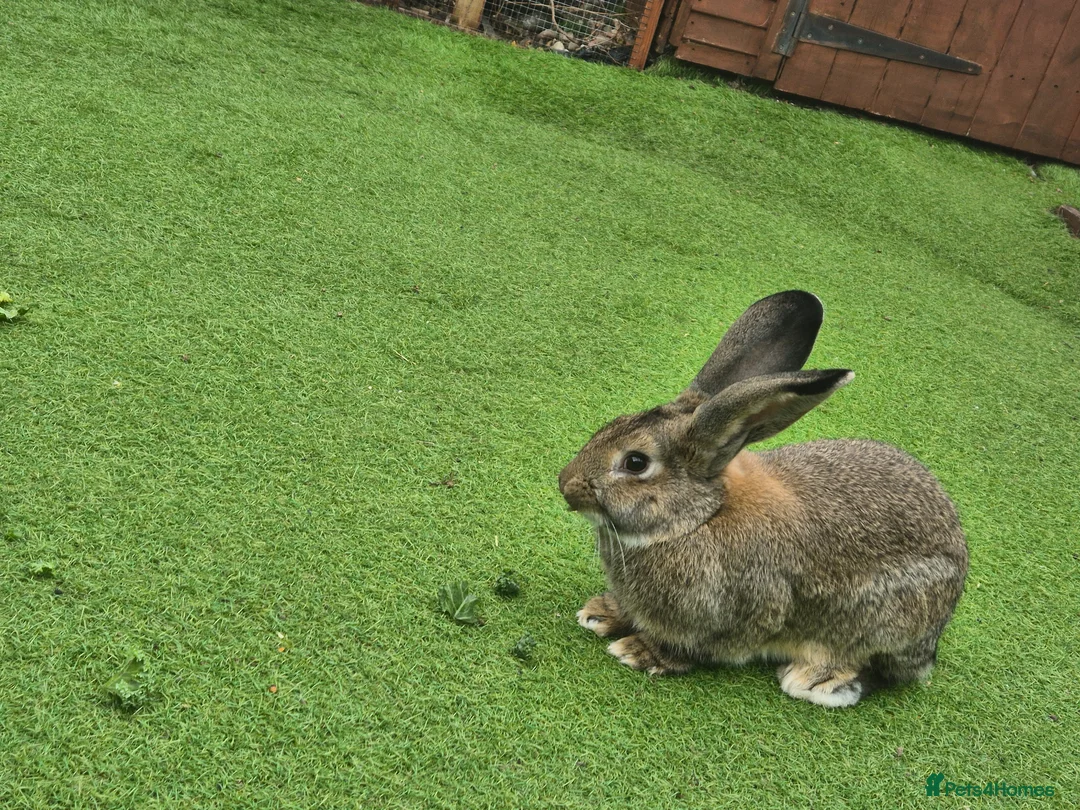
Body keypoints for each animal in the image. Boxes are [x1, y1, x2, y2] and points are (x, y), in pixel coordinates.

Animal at [558, 290, 968, 707]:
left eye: (636, 462)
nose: (565, 484)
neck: (698, 518)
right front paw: (601, 613)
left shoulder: (731, 614)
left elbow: (690, 649)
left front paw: (639, 651)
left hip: (883, 621)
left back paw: (818, 681)